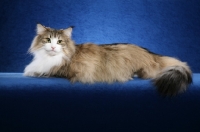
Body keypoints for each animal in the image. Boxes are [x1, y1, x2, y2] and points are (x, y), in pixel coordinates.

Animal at [23, 23, 192, 96]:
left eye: (59, 42)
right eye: (47, 40)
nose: (53, 47)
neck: (49, 57)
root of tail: (150, 52)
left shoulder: (61, 71)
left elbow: (38, 71)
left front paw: (30, 72)